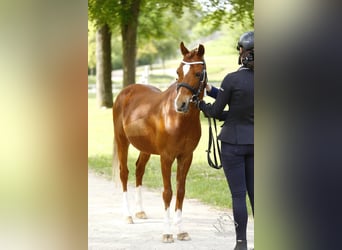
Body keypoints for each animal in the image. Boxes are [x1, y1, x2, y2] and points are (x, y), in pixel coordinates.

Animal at [113, 42, 207, 243]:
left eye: (197, 73)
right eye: (178, 72)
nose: (181, 104)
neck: (179, 120)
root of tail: (125, 92)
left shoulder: (186, 157)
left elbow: (181, 191)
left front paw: (181, 231)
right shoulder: (166, 157)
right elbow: (167, 193)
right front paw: (167, 233)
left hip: (145, 149)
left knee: (139, 170)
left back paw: (140, 211)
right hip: (122, 141)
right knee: (124, 173)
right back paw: (128, 215)